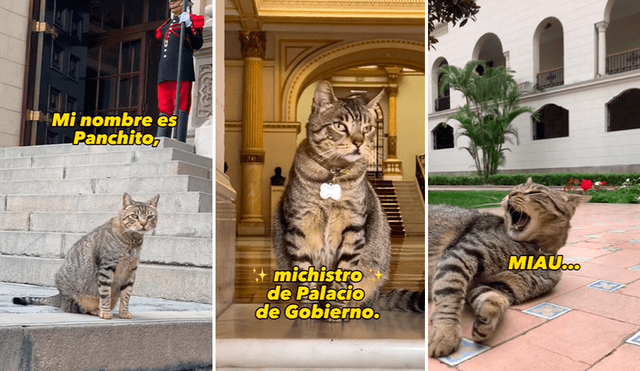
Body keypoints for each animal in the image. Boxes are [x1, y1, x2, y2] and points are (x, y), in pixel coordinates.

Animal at [12, 195, 159, 320]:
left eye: (150, 216)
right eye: (134, 216)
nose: (143, 223)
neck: (133, 241)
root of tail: (60, 295)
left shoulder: (131, 271)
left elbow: (126, 295)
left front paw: (124, 312)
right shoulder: (106, 268)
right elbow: (105, 293)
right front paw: (105, 312)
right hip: (73, 294)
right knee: (78, 308)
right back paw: (96, 311)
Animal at [272, 80, 422, 316]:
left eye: (368, 129)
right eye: (340, 126)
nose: (359, 142)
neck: (334, 175)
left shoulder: (353, 227)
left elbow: (343, 275)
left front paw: (336, 310)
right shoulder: (299, 226)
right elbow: (306, 274)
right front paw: (308, 312)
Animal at [428, 179, 588, 358]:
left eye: (535, 192)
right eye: (515, 189)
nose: (510, 194)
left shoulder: (501, 286)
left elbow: (495, 300)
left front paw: (487, 320)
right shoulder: (462, 254)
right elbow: (450, 293)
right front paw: (446, 332)